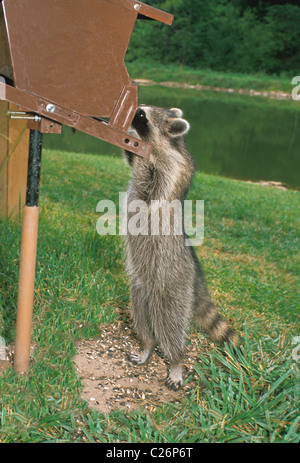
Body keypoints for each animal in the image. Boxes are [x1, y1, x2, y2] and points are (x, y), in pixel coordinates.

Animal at [123, 106, 237, 392]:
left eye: (142, 115)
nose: (132, 112)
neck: (170, 144)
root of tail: (195, 279)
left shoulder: (172, 170)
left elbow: (151, 187)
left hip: (172, 288)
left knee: (170, 327)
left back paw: (176, 361)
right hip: (140, 291)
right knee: (143, 320)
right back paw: (147, 345)